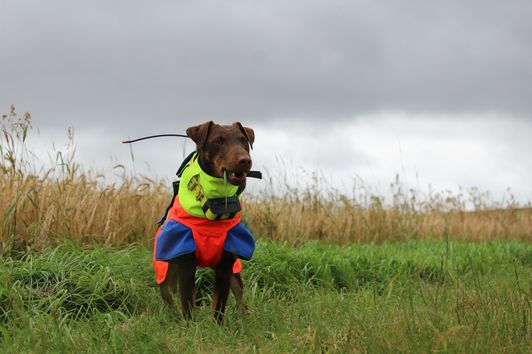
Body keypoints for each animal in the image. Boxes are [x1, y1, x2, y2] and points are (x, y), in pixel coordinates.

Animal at [159, 121, 255, 324]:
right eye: (218, 141)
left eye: (244, 141)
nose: (245, 160)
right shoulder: (185, 264)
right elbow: (188, 305)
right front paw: (190, 328)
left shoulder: (226, 265)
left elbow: (219, 306)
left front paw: (217, 328)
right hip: (166, 269)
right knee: (168, 294)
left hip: (234, 272)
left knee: (240, 295)